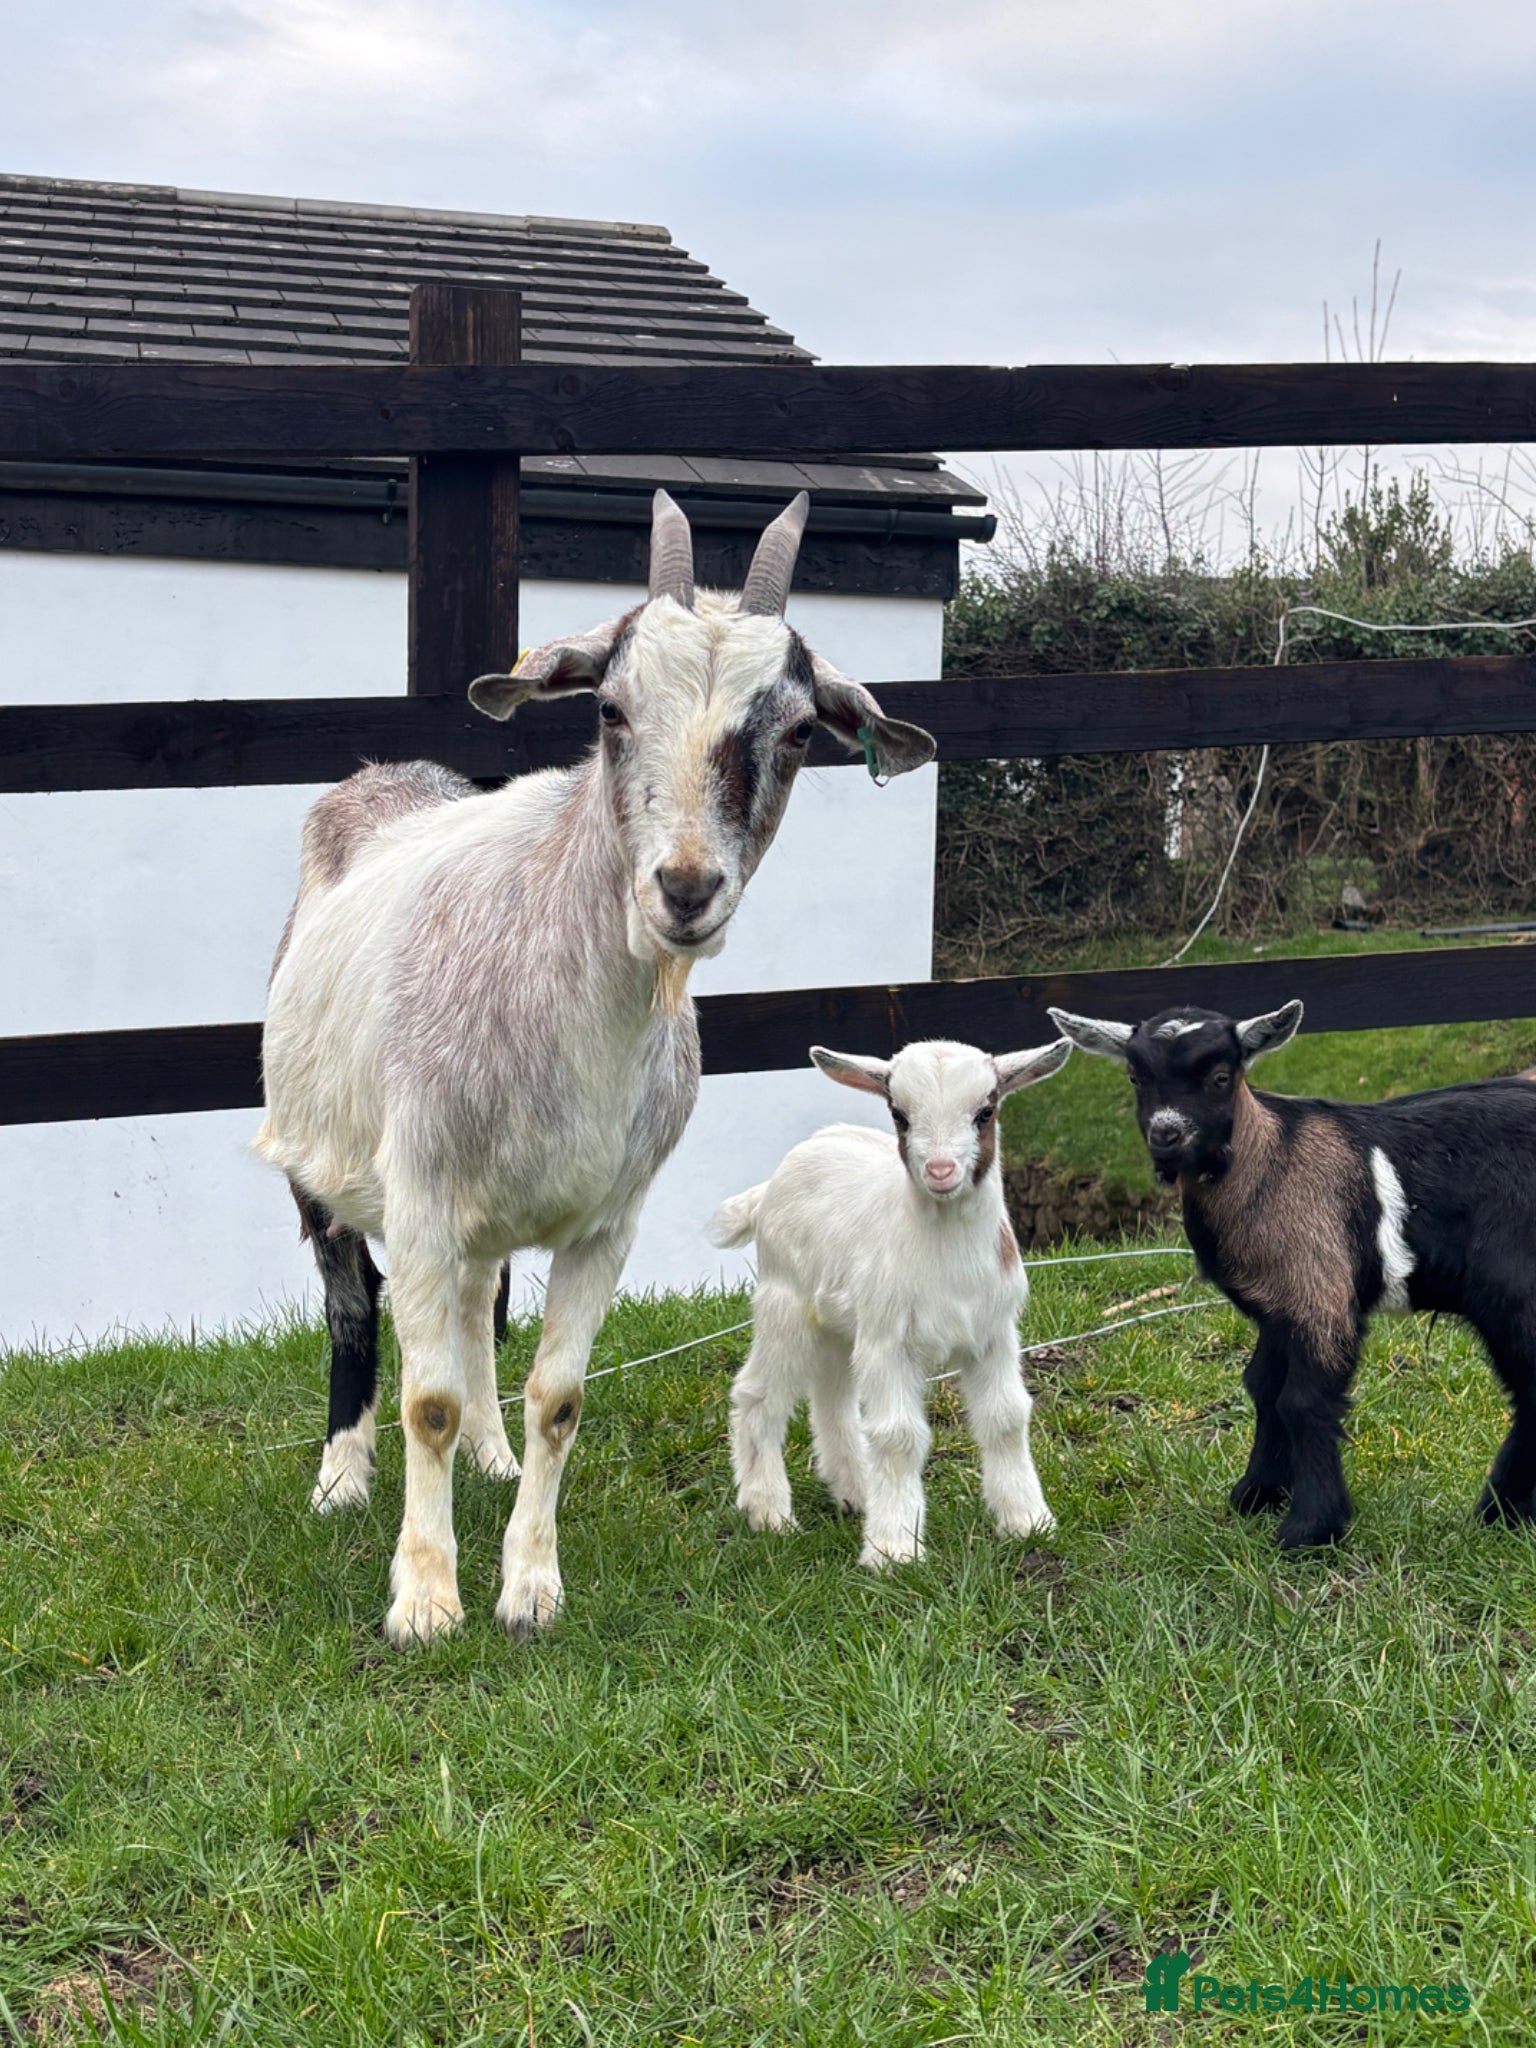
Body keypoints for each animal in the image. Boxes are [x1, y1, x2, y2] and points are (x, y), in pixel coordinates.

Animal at [256, 493, 936, 1644]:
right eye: (611, 710)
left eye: (800, 731)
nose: (685, 888)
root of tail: (387, 778)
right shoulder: (423, 1186)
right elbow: (424, 1402)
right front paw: (425, 1600)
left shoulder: (607, 1219)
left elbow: (559, 1397)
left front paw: (530, 1585)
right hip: (319, 1159)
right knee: (352, 1298)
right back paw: (342, 1473)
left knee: (478, 1304)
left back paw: (487, 1453)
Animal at [711, 1037, 1069, 1567]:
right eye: (899, 1114)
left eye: (985, 1111)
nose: (940, 1170)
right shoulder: (889, 1341)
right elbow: (899, 1436)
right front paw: (894, 1550)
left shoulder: (993, 1334)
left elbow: (1005, 1418)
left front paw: (1027, 1520)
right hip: (785, 1300)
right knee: (758, 1396)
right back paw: (770, 1513)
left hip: (840, 1322)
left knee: (832, 1397)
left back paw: (857, 1493)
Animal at [1051, 999, 1536, 1548]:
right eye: (1135, 1076)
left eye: (1221, 1076)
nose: (1167, 1134)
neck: (1269, 1163)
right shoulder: (1276, 1306)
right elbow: (1262, 1387)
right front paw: (1256, 1494)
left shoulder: (1319, 1289)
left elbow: (1302, 1403)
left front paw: (1310, 1527)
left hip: (1513, 1290)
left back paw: (1497, 1512)